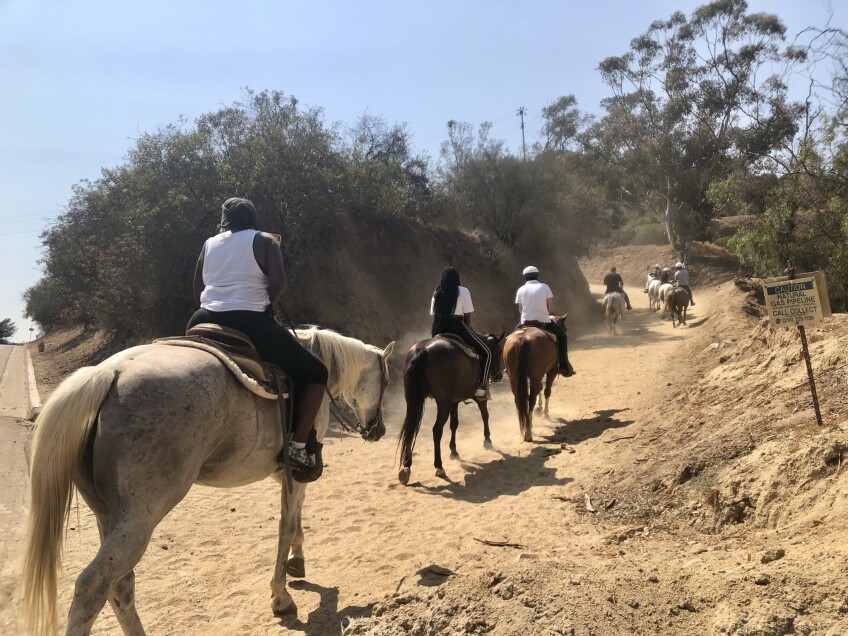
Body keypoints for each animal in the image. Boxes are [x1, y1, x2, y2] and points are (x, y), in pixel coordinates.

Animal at [20, 326, 395, 635]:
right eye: (387, 381)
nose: (378, 429)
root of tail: (109, 373)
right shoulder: (296, 473)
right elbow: (286, 525)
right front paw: (281, 596)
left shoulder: (285, 476)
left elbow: (297, 516)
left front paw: (297, 562)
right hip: (138, 519)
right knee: (92, 586)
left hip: (106, 515)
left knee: (120, 586)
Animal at [397, 331, 505, 484]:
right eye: (499, 351)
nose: (498, 376)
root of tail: (422, 350)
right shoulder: (477, 397)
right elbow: (485, 415)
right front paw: (487, 440)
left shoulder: (454, 402)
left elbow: (454, 424)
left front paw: (453, 451)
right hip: (443, 403)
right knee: (436, 430)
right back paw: (439, 466)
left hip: (414, 400)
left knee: (410, 429)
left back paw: (407, 466)